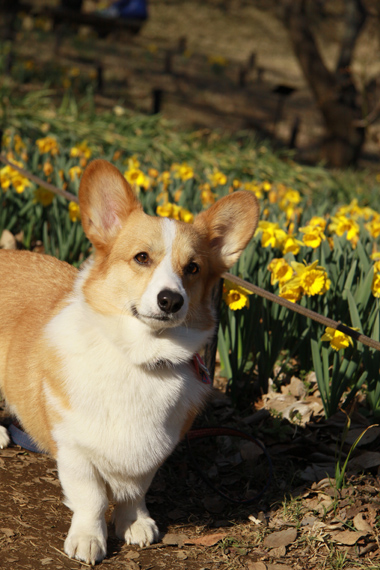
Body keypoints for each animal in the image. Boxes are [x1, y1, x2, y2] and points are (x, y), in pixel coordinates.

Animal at [0, 158, 258, 560]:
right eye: (141, 258)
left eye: (193, 268)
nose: (171, 300)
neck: (139, 360)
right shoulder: (74, 448)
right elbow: (90, 499)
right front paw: (88, 539)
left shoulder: (151, 452)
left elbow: (134, 492)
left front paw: (134, 523)